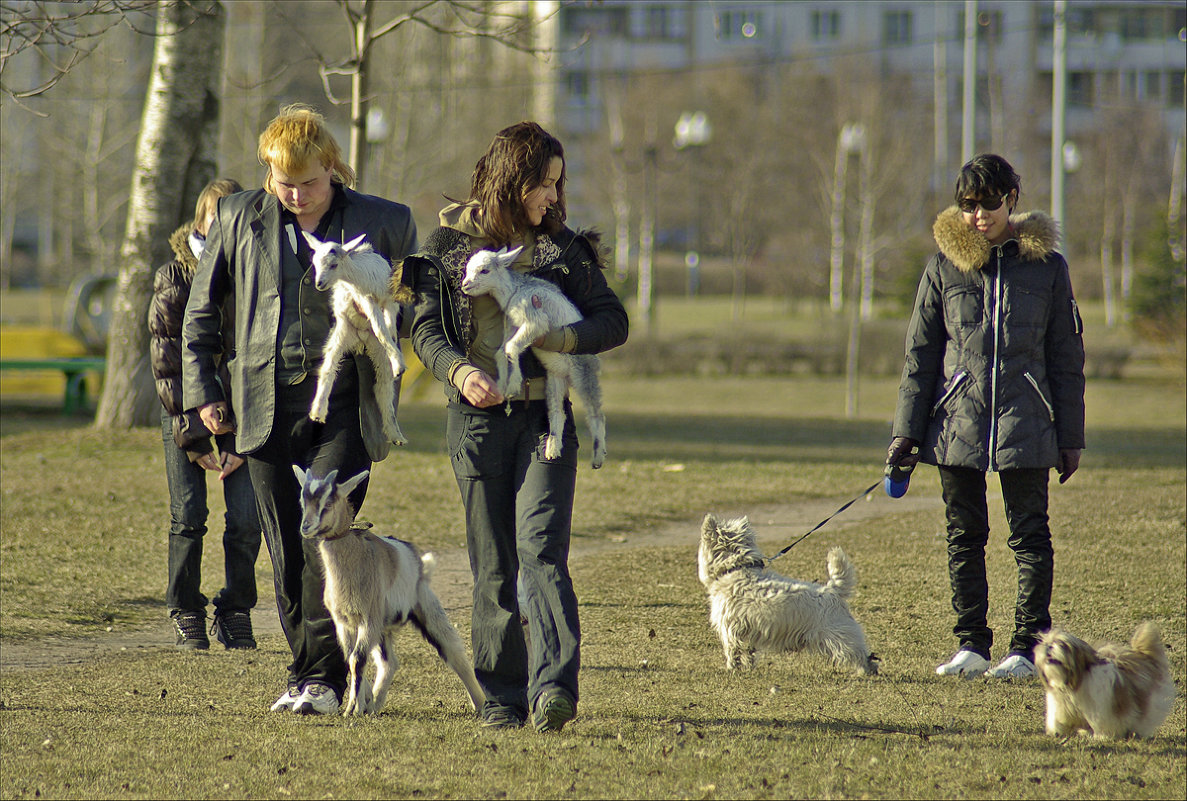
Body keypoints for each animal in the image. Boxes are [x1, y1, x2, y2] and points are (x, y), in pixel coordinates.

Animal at [460, 245, 607, 469]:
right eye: (468, 269)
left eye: (484, 270)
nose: (465, 284)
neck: (514, 291)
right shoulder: (512, 324)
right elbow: (501, 351)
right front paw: (502, 386)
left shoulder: (535, 321)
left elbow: (511, 347)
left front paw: (513, 385)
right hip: (555, 378)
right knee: (557, 411)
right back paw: (552, 449)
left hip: (584, 372)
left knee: (596, 413)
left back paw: (598, 457)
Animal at [693, 515, 883, 678]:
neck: (735, 569)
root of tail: (833, 591)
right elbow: (748, 652)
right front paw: (746, 668)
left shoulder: (730, 628)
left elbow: (733, 651)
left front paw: (732, 669)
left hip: (840, 635)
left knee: (857, 654)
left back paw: (864, 671)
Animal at [1035, 621, 1172, 740]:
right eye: (1046, 643)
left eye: (1062, 645)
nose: (1049, 646)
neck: (1075, 681)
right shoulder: (1060, 705)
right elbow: (1058, 720)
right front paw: (1057, 732)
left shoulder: (1102, 706)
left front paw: (1102, 737)